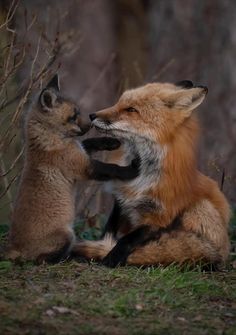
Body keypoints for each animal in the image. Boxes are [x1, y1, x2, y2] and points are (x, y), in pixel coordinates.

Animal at [73, 80, 230, 270]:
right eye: (119, 103)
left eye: (131, 109)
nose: (92, 115)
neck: (141, 177)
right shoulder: (121, 202)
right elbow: (108, 231)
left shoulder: (160, 217)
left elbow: (128, 239)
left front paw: (111, 257)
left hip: (200, 207)